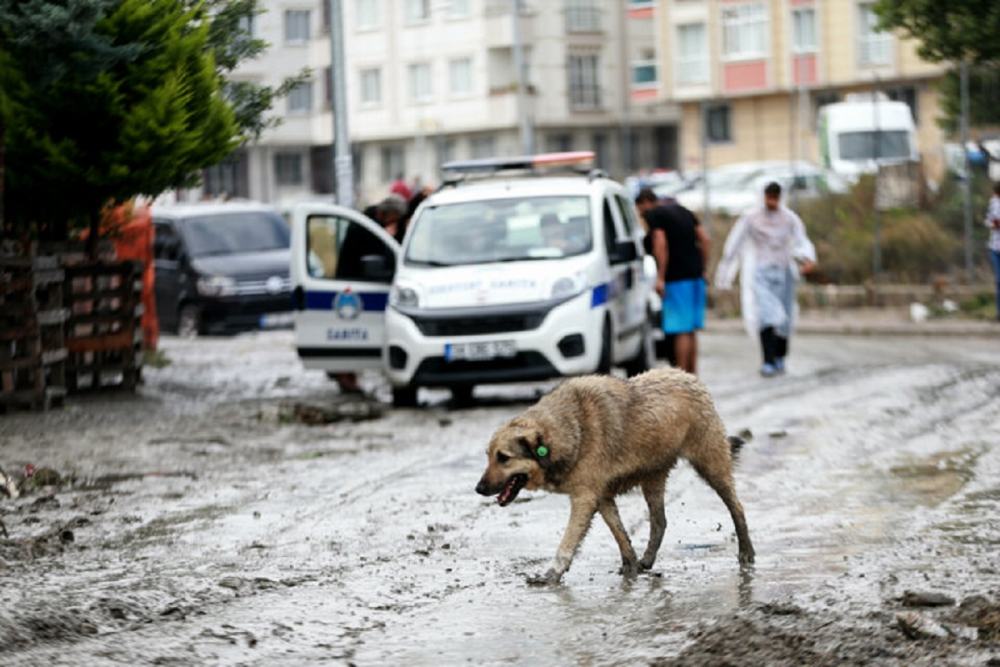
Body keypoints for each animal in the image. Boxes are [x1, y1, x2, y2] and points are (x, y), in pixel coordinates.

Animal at [474, 366, 752, 584]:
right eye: (488, 455)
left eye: (503, 457)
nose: (479, 489)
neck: (570, 428)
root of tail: (688, 376)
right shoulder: (603, 497)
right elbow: (620, 535)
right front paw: (631, 567)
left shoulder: (585, 499)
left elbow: (567, 543)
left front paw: (551, 574)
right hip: (652, 478)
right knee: (659, 521)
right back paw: (648, 559)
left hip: (711, 467)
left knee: (737, 507)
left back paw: (746, 552)